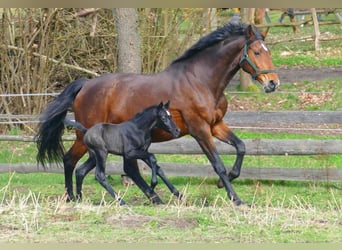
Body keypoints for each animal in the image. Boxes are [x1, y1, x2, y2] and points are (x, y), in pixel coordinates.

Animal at [36, 21, 280, 205]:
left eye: (268, 52)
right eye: (256, 52)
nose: (273, 83)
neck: (201, 81)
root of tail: (85, 85)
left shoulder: (216, 125)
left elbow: (241, 147)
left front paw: (225, 181)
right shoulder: (200, 129)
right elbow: (217, 164)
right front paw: (235, 198)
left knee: (125, 168)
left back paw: (153, 197)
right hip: (86, 138)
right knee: (69, 160)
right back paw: (72, 198)